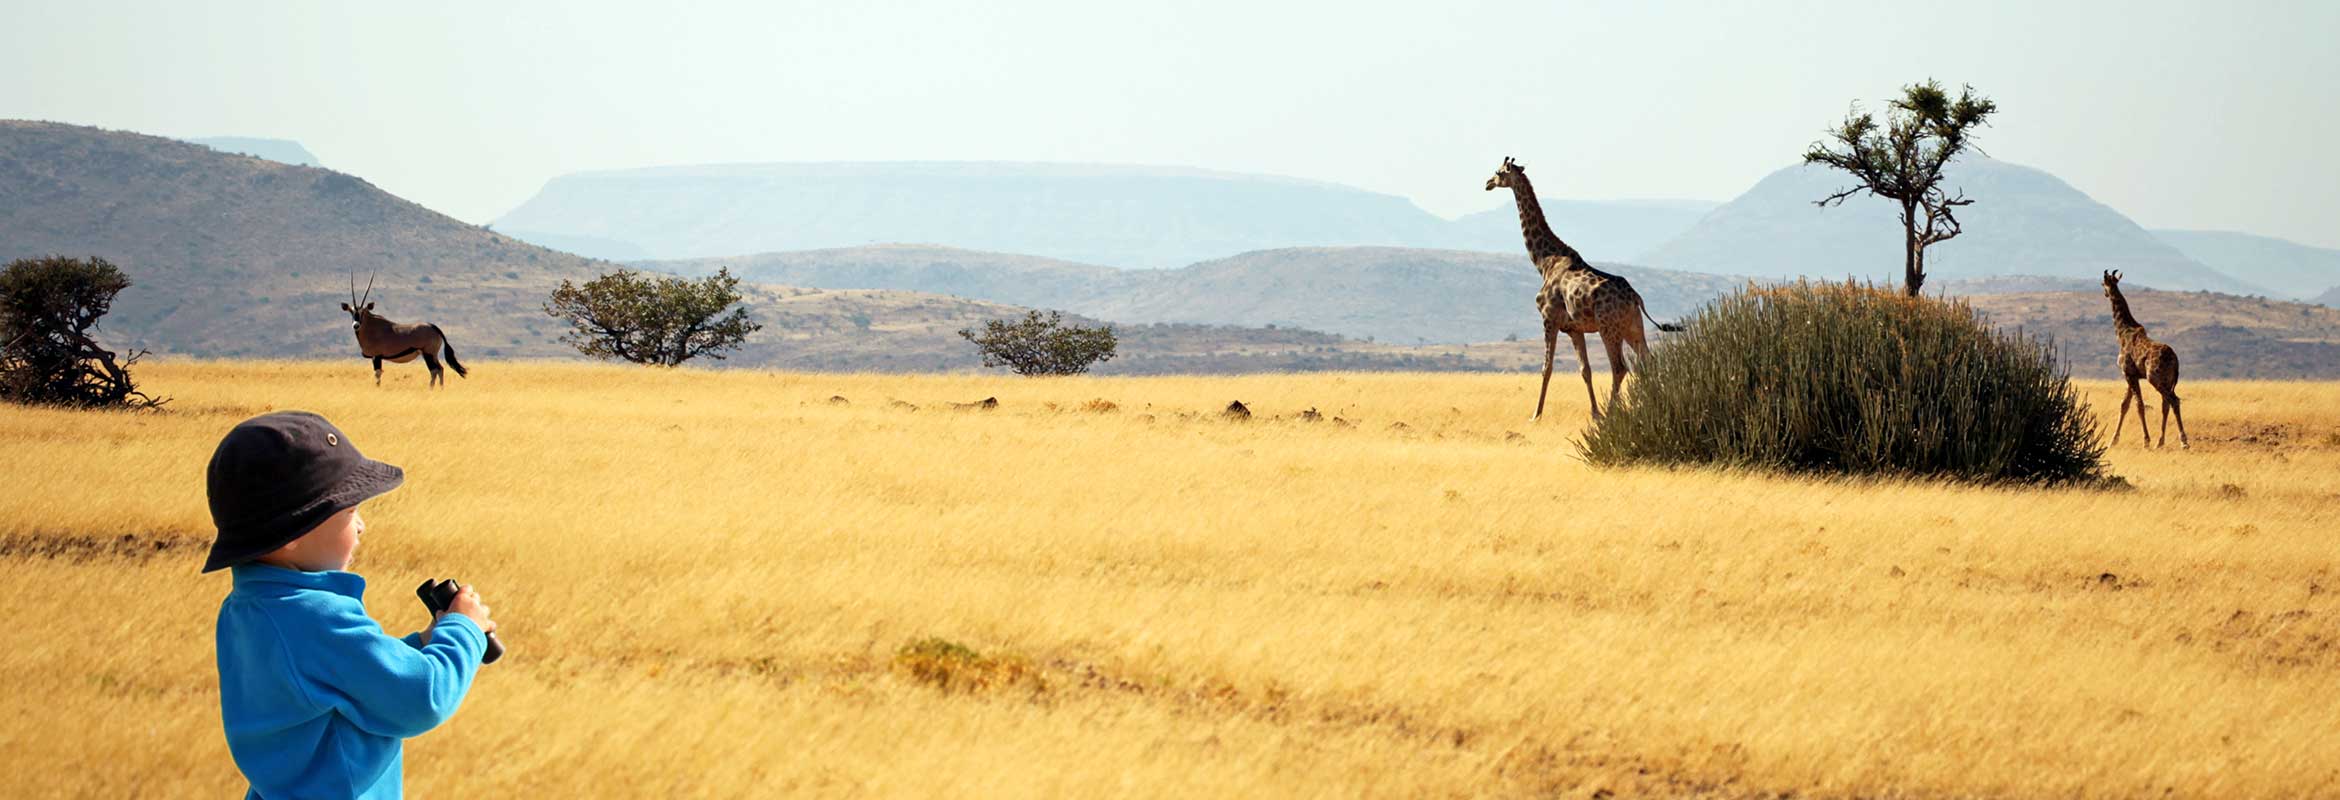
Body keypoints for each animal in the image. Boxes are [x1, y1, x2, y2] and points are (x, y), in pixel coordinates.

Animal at [1488, 154, 1675, 418]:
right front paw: (1594, 413)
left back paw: (1613, 412)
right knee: (1648, 362)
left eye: (1498, 172)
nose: (1487, 183)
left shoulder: (1549, 319)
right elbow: (1584, 369)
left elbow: (1547, 367)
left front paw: (1536, 415)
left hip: (1609, 327)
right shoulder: (1574, 329)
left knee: (1620, 367)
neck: (1544, 261)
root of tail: (1636, 297)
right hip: (1633, 326)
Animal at [2106, 271, 2190, 449]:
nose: (2105, 293)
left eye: (2103, 284)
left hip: (2155, 378)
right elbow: (2125, 405)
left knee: (2174, 401)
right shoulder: (2131, 375)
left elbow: (2139, 405)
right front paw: (2113, 441)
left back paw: (2184, 441)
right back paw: (2160, 442)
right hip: (2167, 380)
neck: (2122, 333)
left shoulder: (2128, 373)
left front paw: (2146, 441)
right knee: (2166, 404)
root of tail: (2175, 360)